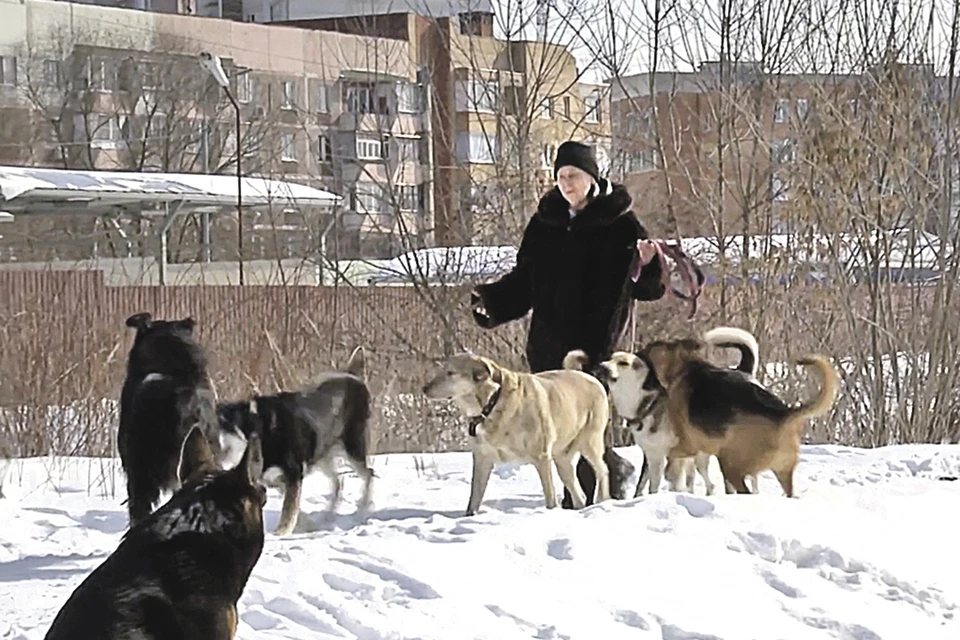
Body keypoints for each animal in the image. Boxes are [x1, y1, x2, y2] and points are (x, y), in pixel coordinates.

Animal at [216, 344, 374, 536]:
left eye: (222, 425)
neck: (262, 432)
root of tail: (352, 376)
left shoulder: (293, 473)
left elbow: (289, 509)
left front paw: (281, 532)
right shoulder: (279, 480)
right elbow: (295, 509)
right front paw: (305, 526)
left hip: (352, 446)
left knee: (368, 474)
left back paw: (363, 510)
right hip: (322, 454)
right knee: (338, 483)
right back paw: (326, 518)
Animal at [636, 338, 840, 498]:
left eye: (651, 348)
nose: (637, 353)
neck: (685, 365)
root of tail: (784, 414)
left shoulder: (688, 440)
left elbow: (676, 455)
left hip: (730, 465)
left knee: (744, 489)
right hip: (782, 471)